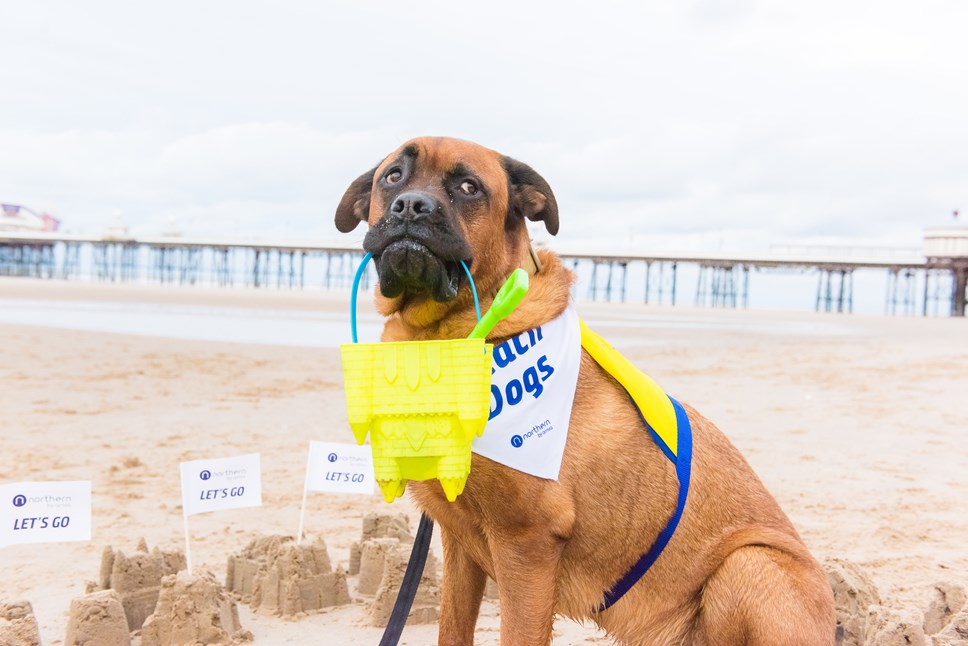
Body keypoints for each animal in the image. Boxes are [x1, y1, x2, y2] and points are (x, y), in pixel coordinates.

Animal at [336, 135, 836, 644]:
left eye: (468, 186)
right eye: (393, 176)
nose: (410, 206)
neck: (444, 337)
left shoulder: (527, 544)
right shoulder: (459, 542)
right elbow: (452, 627)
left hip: (750, 563)